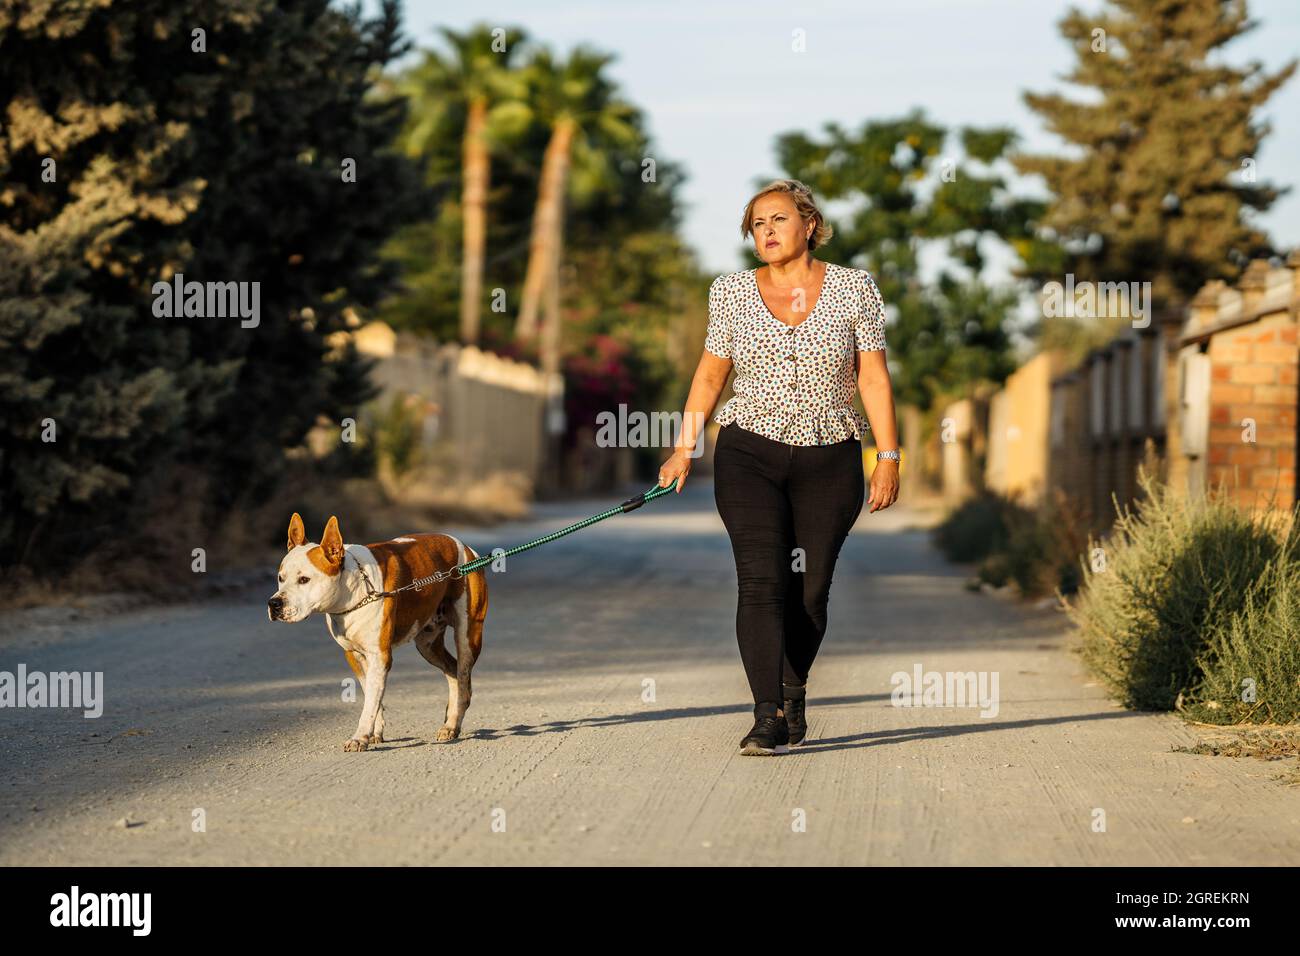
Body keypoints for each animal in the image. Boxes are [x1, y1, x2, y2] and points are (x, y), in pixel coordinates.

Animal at [267, 512, 488, 749]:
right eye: (280, 578)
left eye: (304, 579)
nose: (274, 604)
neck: (354, 590)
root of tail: (466, 547)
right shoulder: (354, 655)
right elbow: (372, 695)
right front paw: (374, 732)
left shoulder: (379, 656)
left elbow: (371, 700)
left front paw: (359, 737)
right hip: (427, 644)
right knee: (452, 670)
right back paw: (450, 722)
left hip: (468, 636)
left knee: (463, 674)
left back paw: (452, 724)